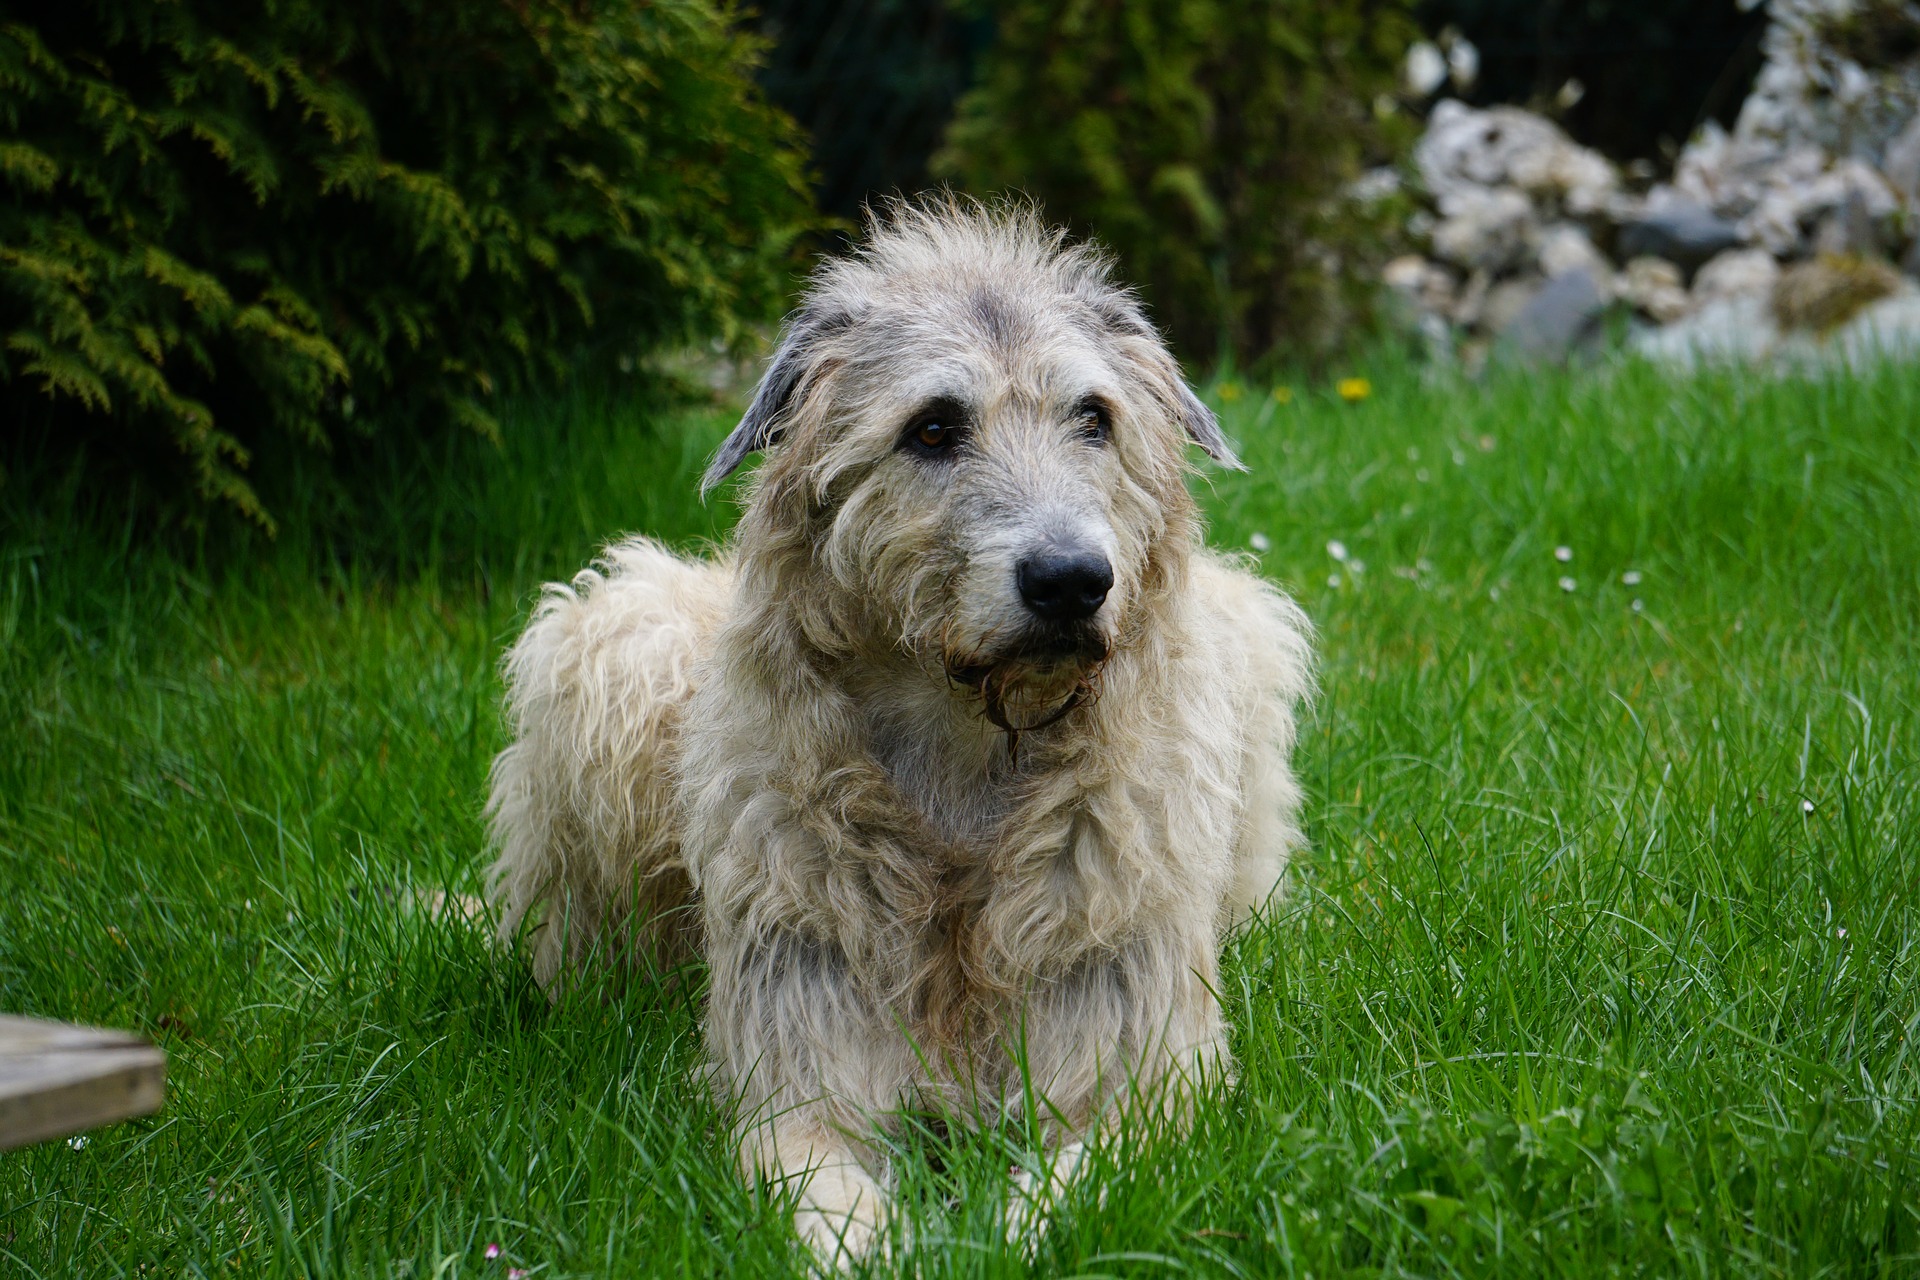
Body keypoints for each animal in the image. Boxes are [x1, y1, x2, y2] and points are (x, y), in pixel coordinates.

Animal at [487, 200, 1313, 1258]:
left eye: (1094, 417)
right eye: (933, 427)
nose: (1072, 582)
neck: (968, 751)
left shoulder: (1147, 1078)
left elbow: (1074, 1188)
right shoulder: (796, 1070)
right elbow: (821, 1186)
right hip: (610, 643)